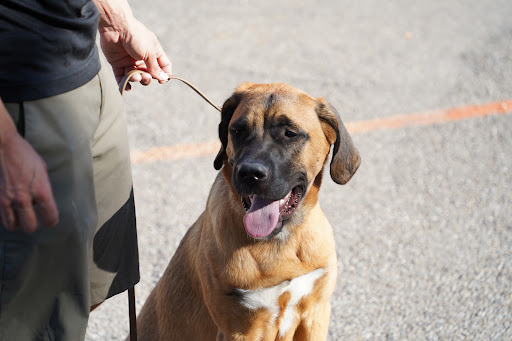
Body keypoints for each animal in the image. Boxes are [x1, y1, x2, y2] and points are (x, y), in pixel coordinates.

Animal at [136, 83, 360, 340]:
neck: (280, 243)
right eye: (238, 131)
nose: (250, 173)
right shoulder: (239, 328)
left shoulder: (315, 312)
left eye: (290, 133)